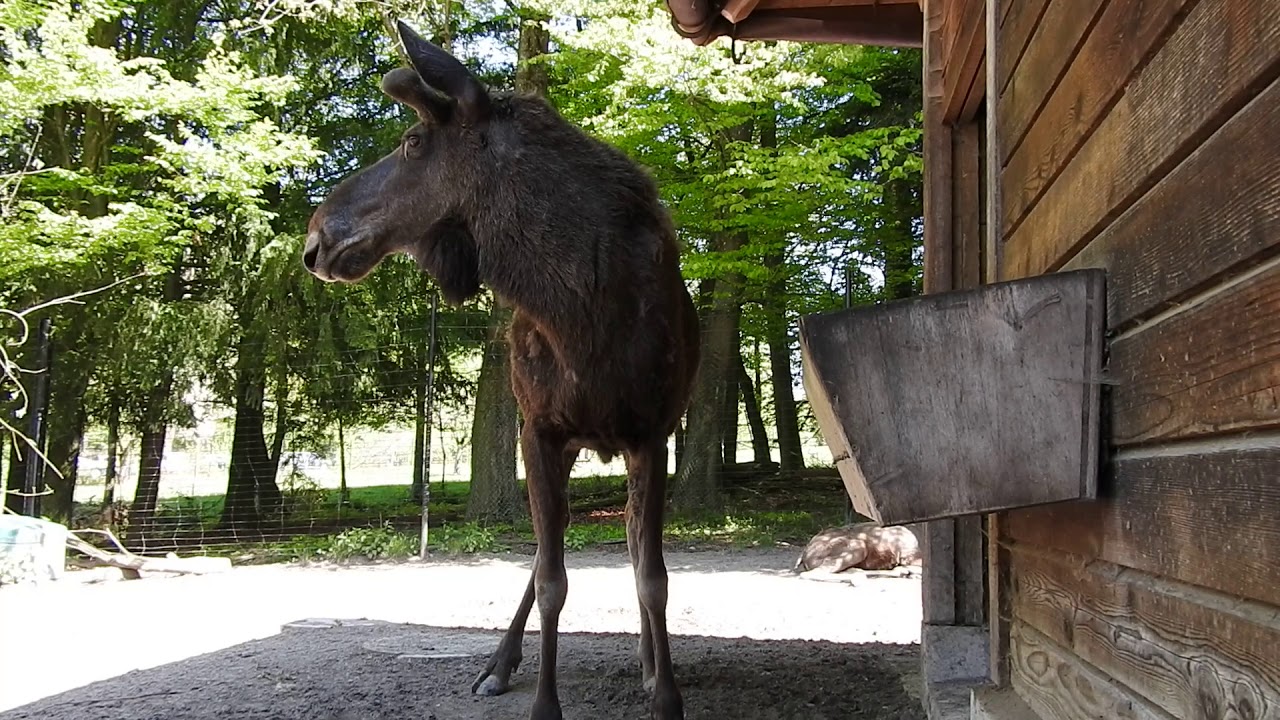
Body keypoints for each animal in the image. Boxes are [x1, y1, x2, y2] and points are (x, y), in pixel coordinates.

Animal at [301, 21, 700, 720]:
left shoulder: (651, 432)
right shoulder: (537, 429)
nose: (315, 237)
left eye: (412, 141)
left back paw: (651, 661)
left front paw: (667, 696)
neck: (579, 311)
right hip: (563, 443)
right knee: (547, 550)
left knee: (627, 537)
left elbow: (654, 577)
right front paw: (544, 702)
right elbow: (550, 578)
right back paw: (500, 662)